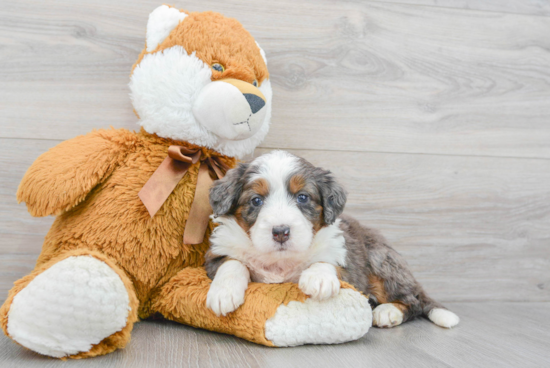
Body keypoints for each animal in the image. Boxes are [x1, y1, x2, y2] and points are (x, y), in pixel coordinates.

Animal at [205, 151, 460, 330]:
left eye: (303, 197)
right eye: (256, 200)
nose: (281, 232)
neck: (280, 261)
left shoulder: (346, 261)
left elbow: (327, 261)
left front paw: (318, 278)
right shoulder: (215, 255)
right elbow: (233, 263)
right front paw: (224, 292)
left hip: (380, 260)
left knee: (414, 300)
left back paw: (388, 312)